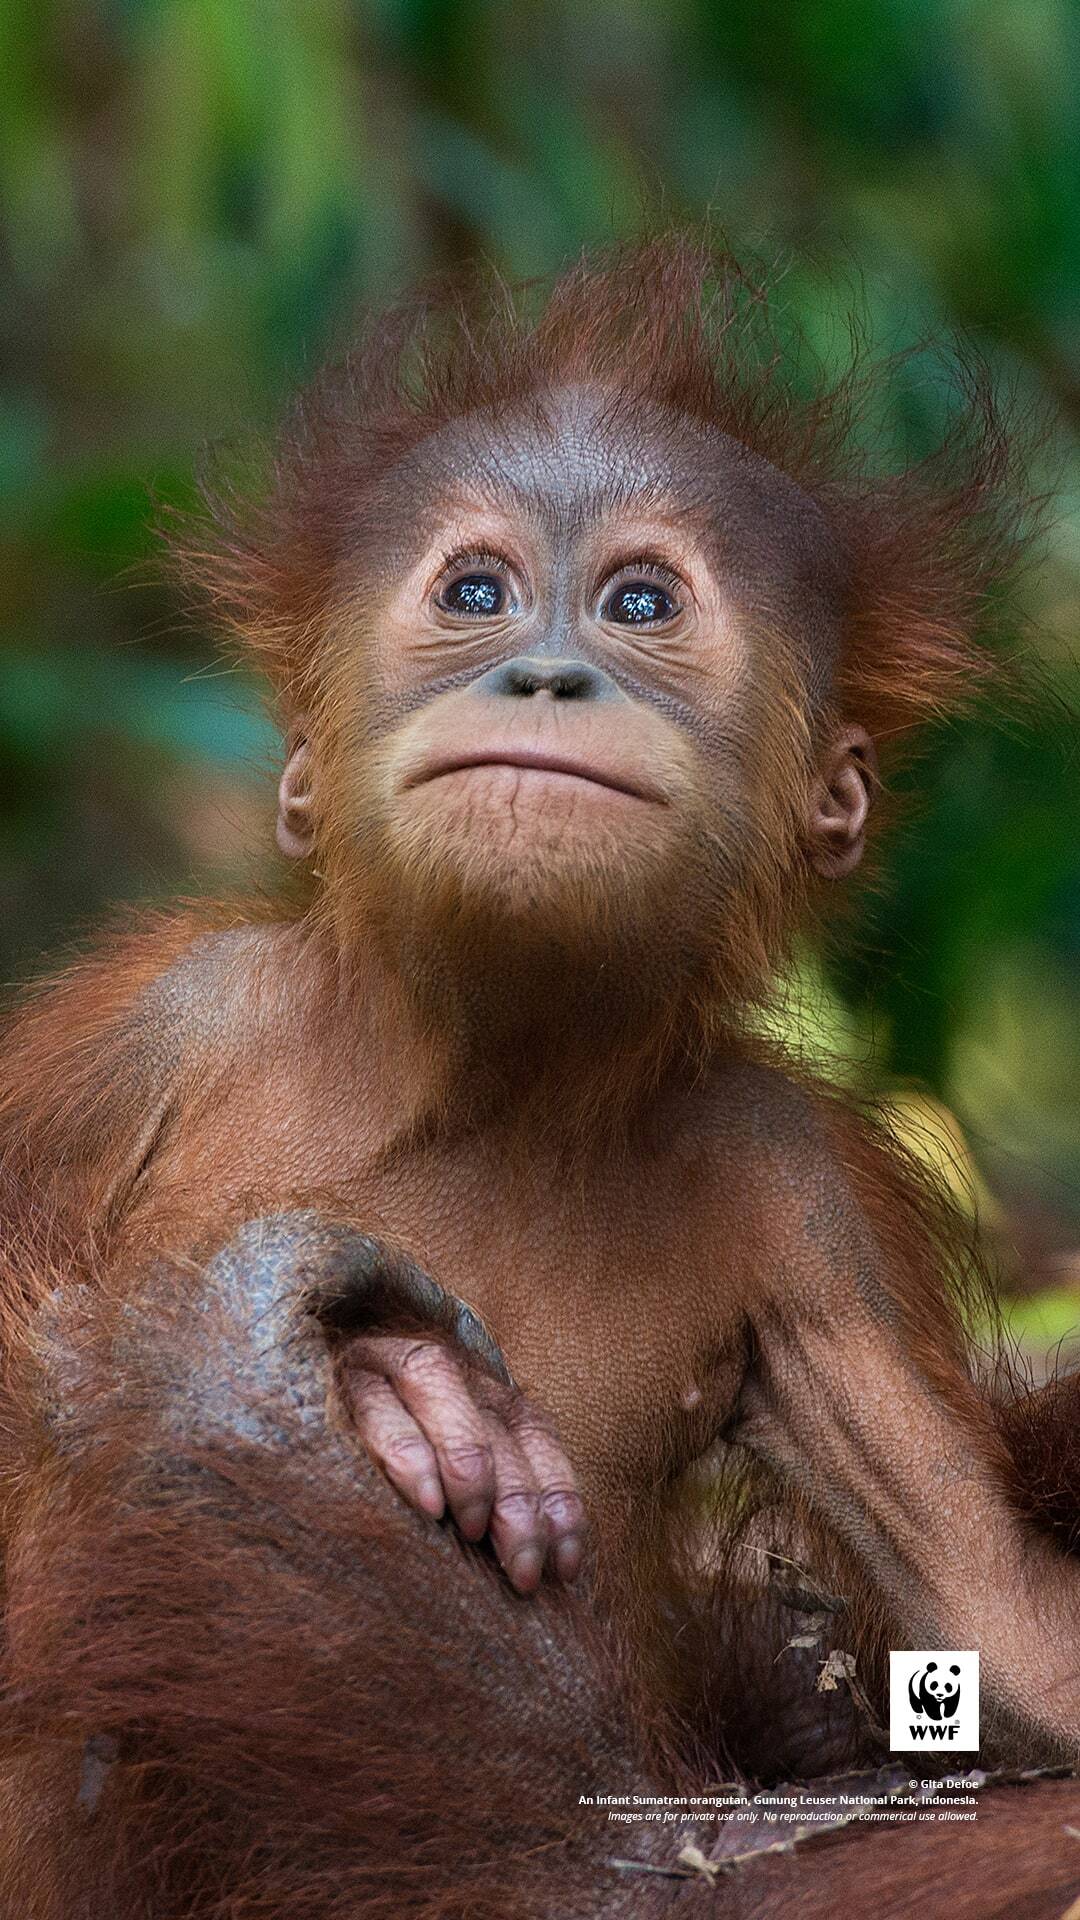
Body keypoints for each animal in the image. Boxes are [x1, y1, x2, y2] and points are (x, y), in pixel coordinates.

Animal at [2, 237, 1080, 1906]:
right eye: (476, 592)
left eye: (640, 602)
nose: (549, 672)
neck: (495, 1070)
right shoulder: (160, 1029)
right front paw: (379, 1383)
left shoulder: (803, 1192)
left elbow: (1005, 1633)